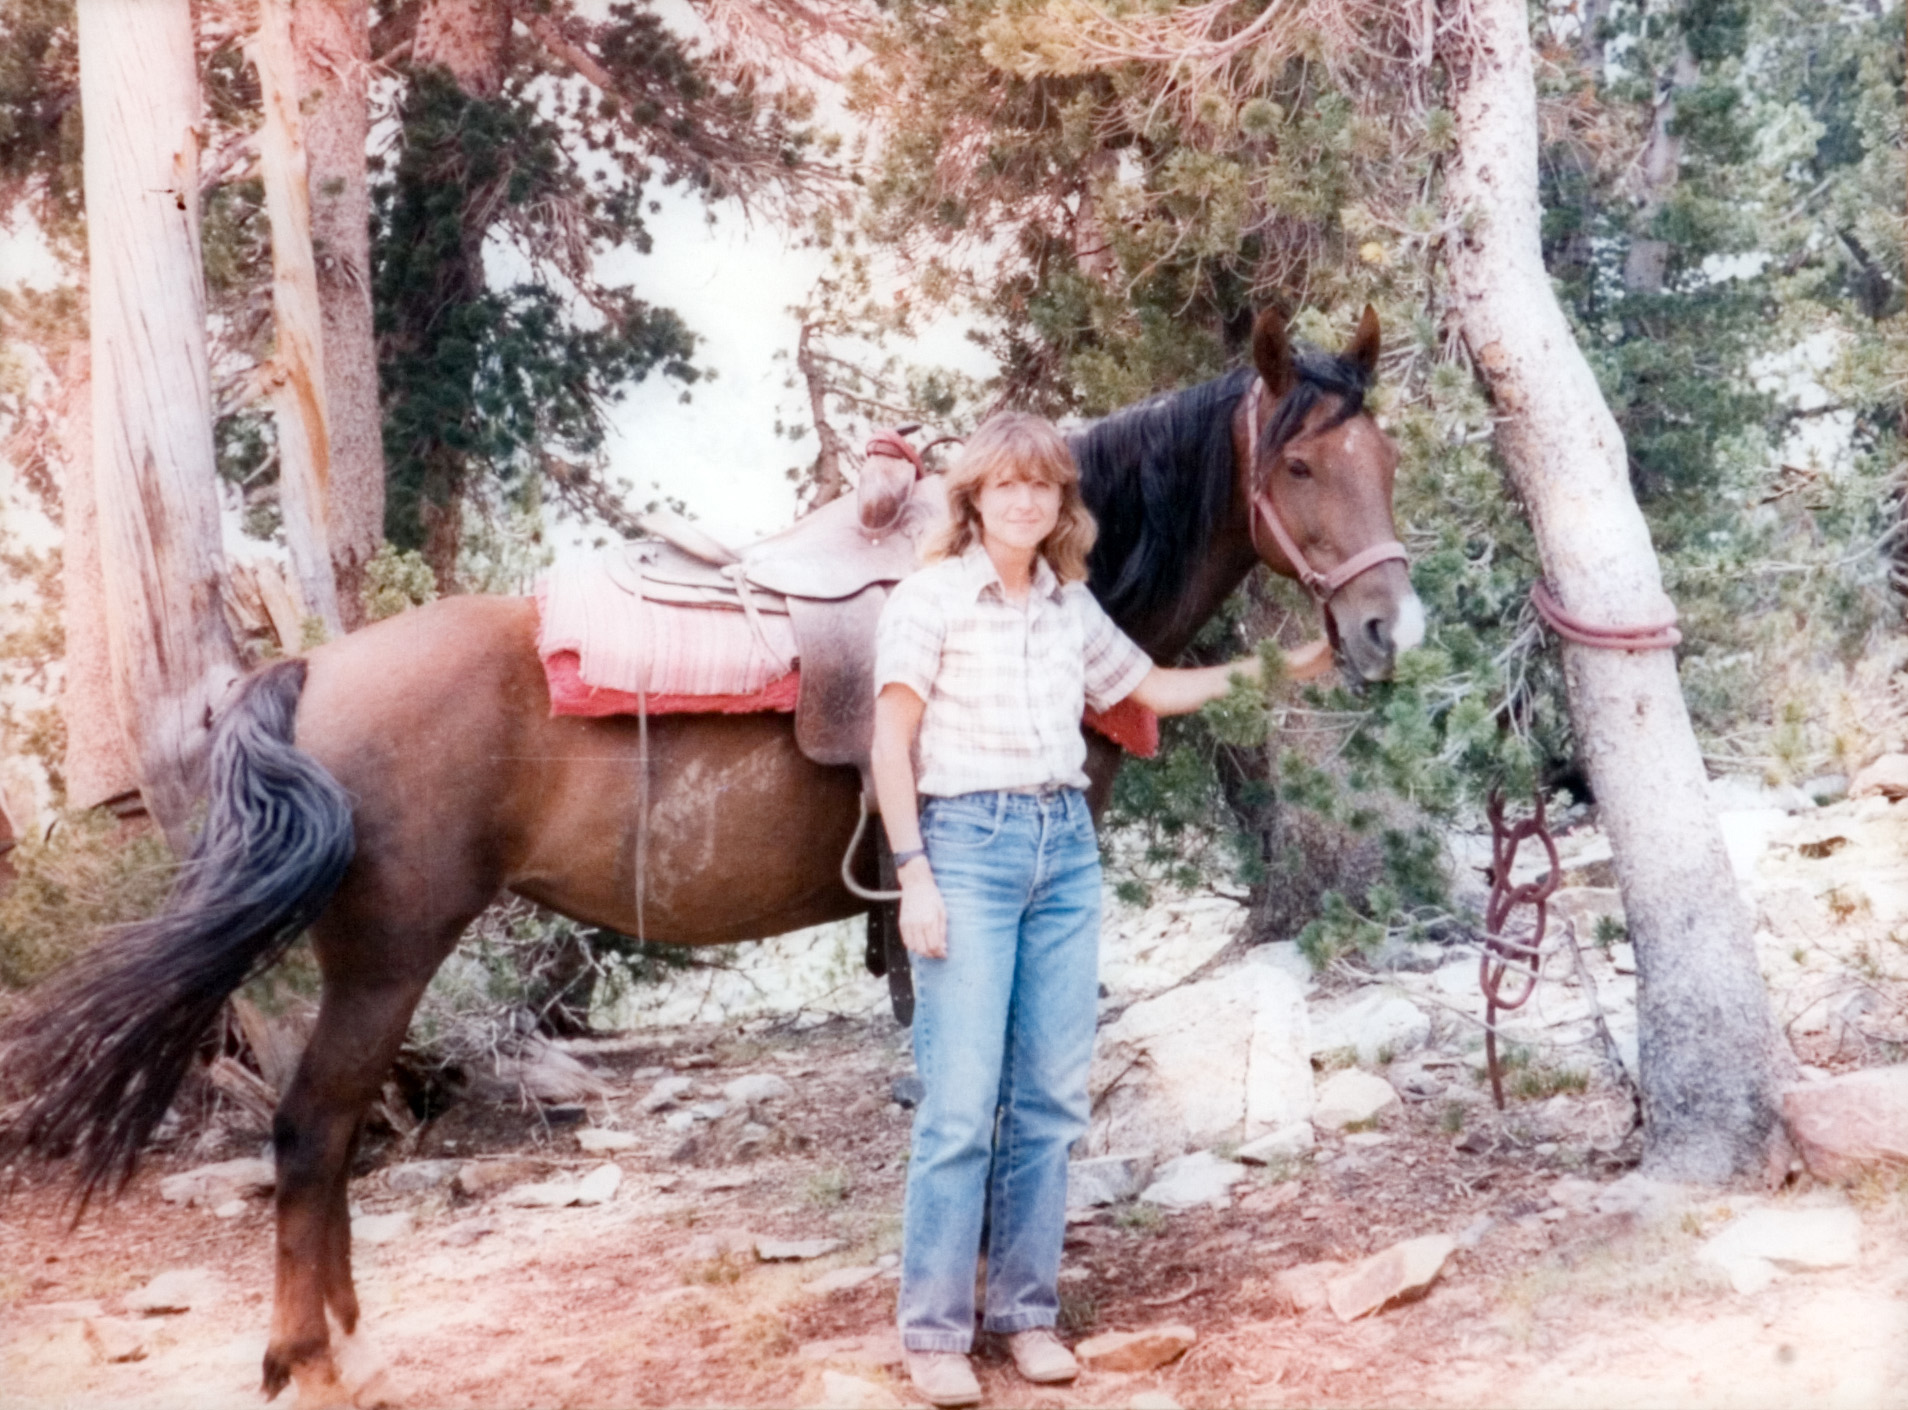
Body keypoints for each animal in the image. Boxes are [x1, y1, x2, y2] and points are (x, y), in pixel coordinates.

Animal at [0, 306, 1421, 1404]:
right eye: (1301, 468)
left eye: (1385, 456)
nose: (1386, 630)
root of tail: (306, 672)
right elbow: (973, 1100)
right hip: (387, 953)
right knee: (311, 1131)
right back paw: (316, 1358)